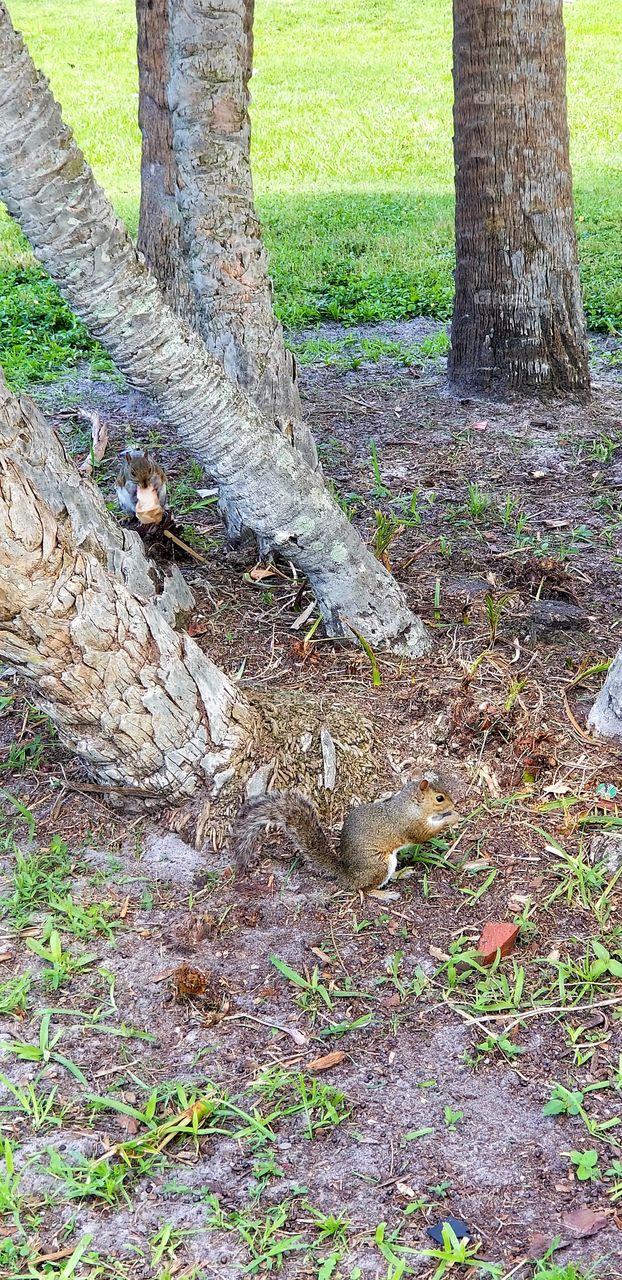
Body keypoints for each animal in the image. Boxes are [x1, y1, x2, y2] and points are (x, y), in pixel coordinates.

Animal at [231, 773, 460, 891]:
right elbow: (423, 835)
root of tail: (348, 874)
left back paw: (402, 873)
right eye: (439, 798)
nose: (454, 802)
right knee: (366, 889)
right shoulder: (409, 825)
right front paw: (453, 817)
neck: (409, 805)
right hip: (380, 864)